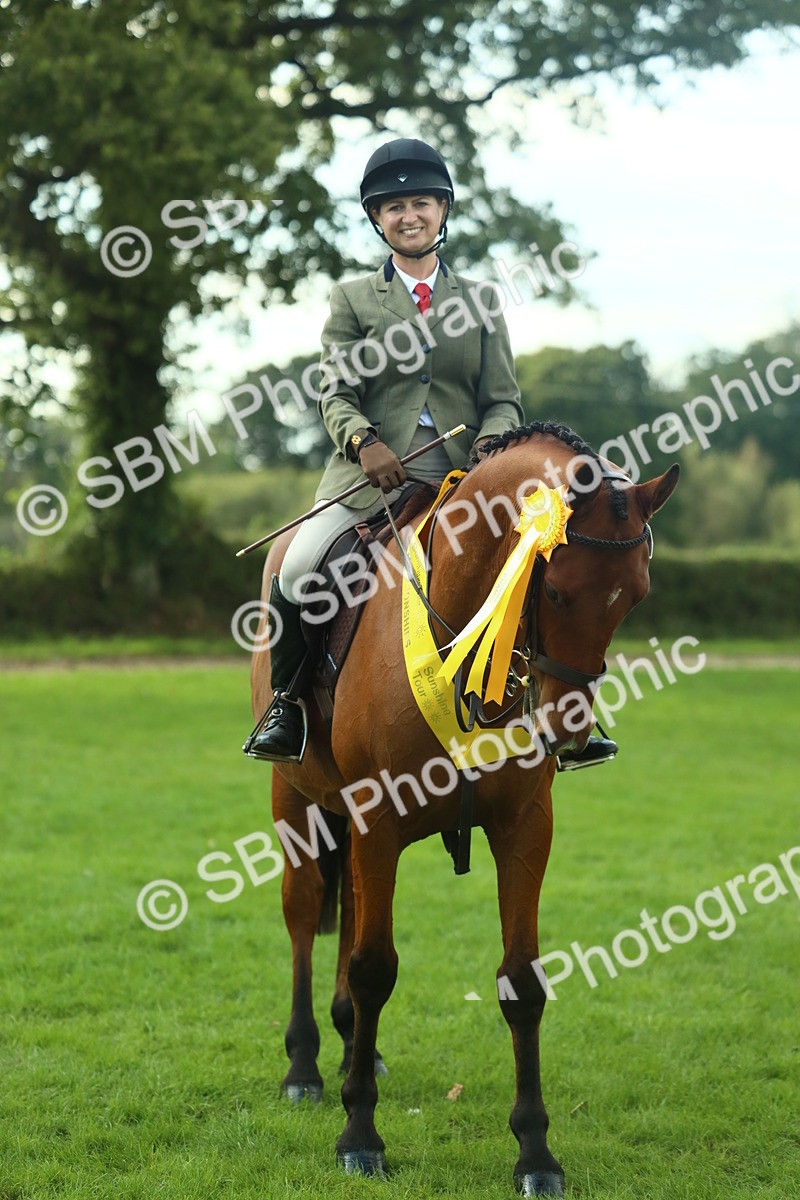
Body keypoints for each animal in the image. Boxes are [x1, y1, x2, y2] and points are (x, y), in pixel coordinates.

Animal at [250, 421, 679, 1196]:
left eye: (634, 596)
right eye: (556, 590)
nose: (568, 729)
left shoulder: (524, 828)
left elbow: (522, 982)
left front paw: (535, 1154)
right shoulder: (377, 817)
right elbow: (373, 968)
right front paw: (360, 1137)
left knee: (349, 912)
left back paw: (357, 1048)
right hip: (295, 798)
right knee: (303, 915)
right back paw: (304, 1067)